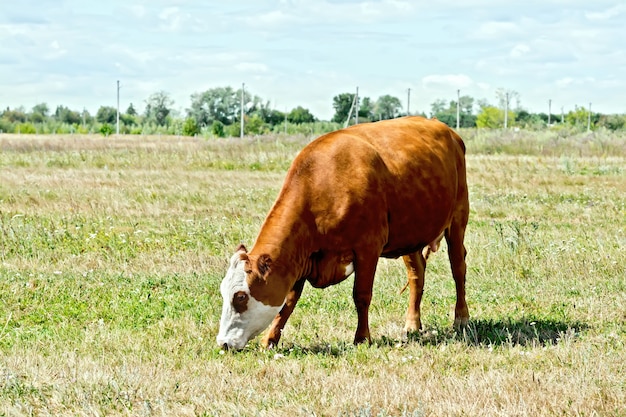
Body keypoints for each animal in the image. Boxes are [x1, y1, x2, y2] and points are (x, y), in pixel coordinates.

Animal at [217, 115, 466, 350]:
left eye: (240, 296)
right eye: (223, 292)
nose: (223, 343)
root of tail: (444, 128)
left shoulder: (368, 247)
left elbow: (361, 295)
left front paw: (362, 338)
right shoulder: (300, 257)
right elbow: (288, 302)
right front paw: (270, 339)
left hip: (458, 218)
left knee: (458, 268)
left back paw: (461, 318)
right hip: (411, 234)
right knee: (417, 274)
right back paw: (412, 324)